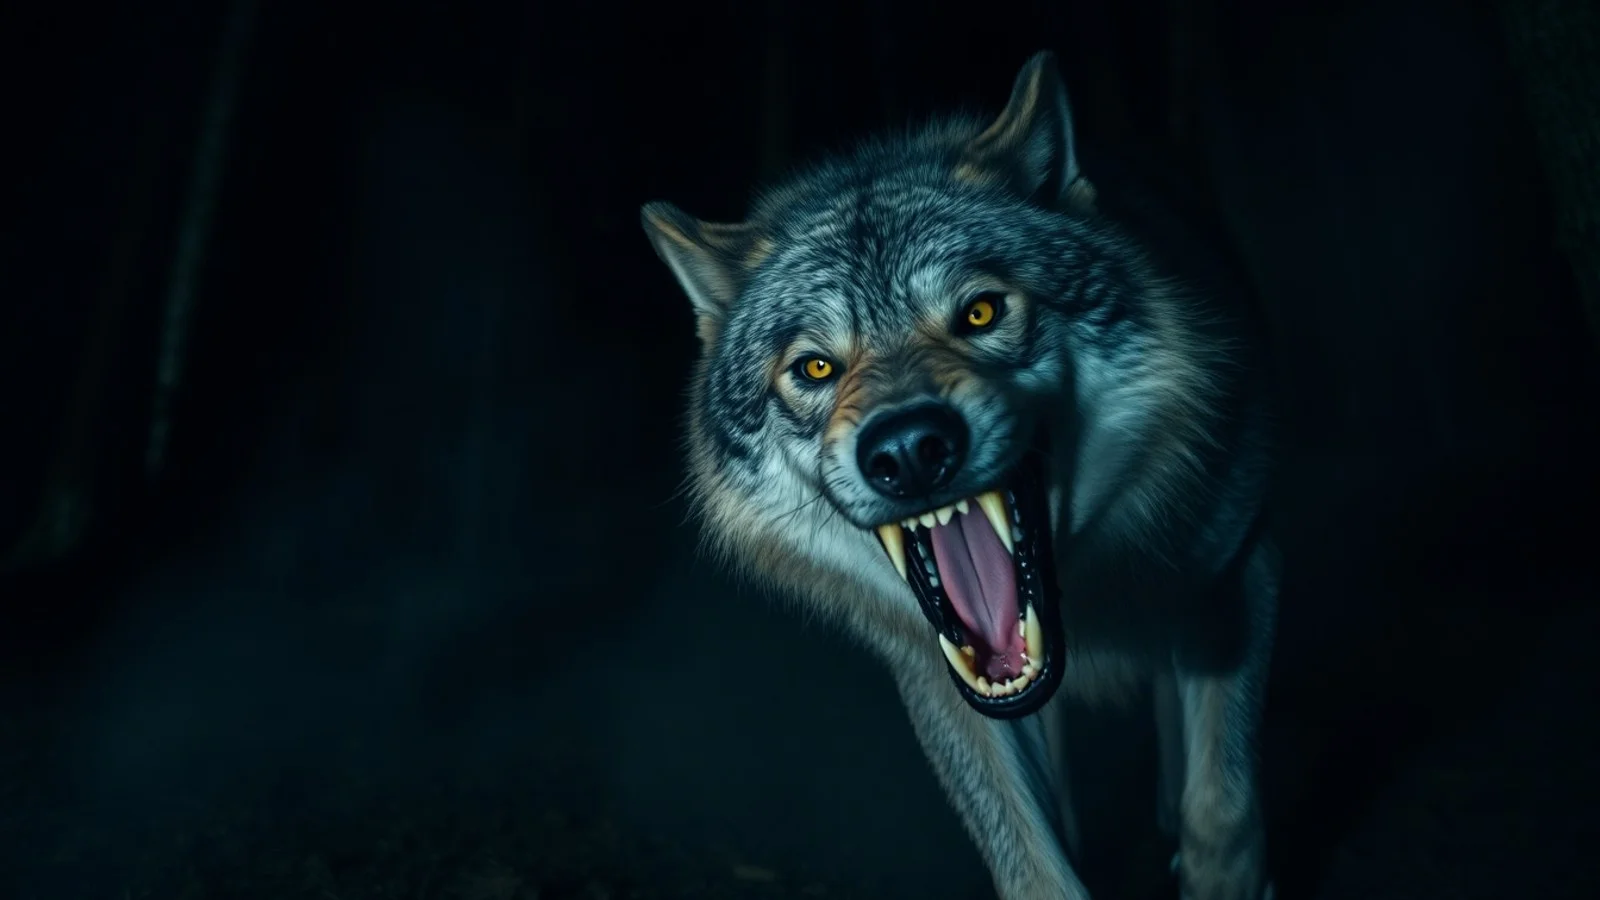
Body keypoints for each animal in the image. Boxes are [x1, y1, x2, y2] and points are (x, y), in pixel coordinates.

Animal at [640, 51, 1278, 900]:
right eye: (815, 367)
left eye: (979, 313)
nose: (909, 449)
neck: (1086, 611)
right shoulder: (944, 682)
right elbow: (1036, 870)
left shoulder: (1236, 568)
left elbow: (1223, 809)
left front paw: (1218, 867)